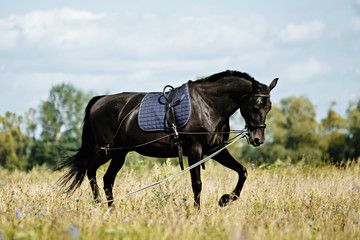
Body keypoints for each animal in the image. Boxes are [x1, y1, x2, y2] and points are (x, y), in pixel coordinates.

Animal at [56, 69, 278, 206]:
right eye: (256, 105)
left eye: (269, 107)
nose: (258, 139)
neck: (207, 105)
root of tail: (99, 100)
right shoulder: (195, 151)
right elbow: (197, 184)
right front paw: (198, 213)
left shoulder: (214, 150)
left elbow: (242, 172)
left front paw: (226, 199)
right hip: (108, 151)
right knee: (91, 170)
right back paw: (98, 203)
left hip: (119, 154)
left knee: (107, 179)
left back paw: (110, 209)